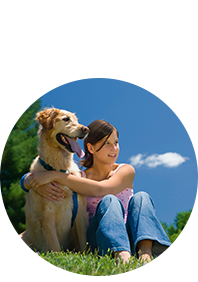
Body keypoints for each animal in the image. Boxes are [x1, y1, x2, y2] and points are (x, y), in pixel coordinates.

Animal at [15, 108, 89, 253]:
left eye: (76, 120)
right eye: (66, 119)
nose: (86, 129)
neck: (60, 170)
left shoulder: (81, 213)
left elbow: (84, 242)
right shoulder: (47, 215)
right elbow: (54, 245)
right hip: (20, 241)